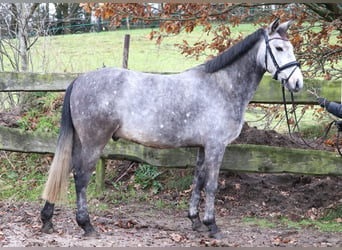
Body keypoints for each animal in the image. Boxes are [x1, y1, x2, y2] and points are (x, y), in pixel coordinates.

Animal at [40, 19, 304, 238]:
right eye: (279, 49)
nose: (298, 83)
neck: (221, 87)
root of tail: (79, 80)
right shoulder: (216, 146)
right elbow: (212, 185)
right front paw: (212, 226)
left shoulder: (202, 147)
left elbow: (198, 181)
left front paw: (196, 221)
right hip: (94, 141)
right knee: (81, 177)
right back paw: (86, 225)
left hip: (80, 141)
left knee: (65, 169)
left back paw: (47, 220)